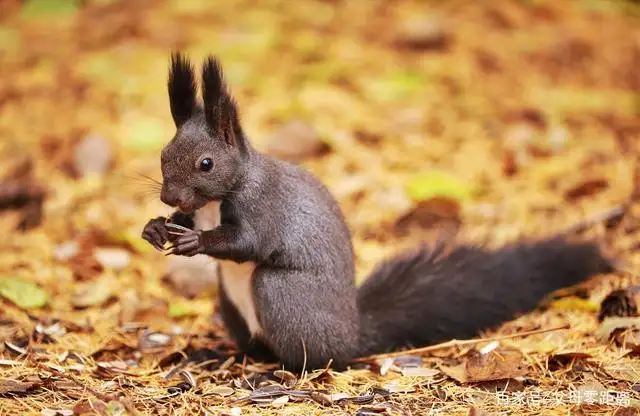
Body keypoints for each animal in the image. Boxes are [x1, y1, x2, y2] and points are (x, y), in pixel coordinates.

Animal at [141, 52, 616, 374]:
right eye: (163, 154)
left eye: (206, 164)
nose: (168, 197)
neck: (219, 197)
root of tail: (353, 335)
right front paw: (155, 228)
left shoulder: (264, 204)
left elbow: (247, 241)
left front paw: (196, 240)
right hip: (231, 304)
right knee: (253, 346)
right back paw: (218, 354)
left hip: (282, 295)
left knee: (312, 354)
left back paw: (282, 372)